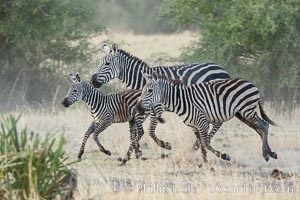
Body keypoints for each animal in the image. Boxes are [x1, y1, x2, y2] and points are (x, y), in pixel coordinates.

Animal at [90, 43, 231, 150]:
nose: (92, 81)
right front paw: (134, 148)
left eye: (107, 64)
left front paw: (164, 145)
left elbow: (150, 130)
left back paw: (198, 144)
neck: (143, 80)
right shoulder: (144, 107)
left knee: (218, 122)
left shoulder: (156, 107)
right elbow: (138, 129)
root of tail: (222, 69)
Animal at [137, 72, 278, 163]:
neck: (182, 101)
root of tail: (251, 83)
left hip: (247, 110)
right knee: (259, 128)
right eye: (142, 90)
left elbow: (205, 142)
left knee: (264, 125)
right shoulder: (194, 126)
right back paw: (270, 152)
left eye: (149, 91)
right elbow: (201, 142)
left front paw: (223, 156)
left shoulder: (202, 122)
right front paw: (204, 160)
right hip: (242, 114)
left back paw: (266, 154)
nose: (138, 107)